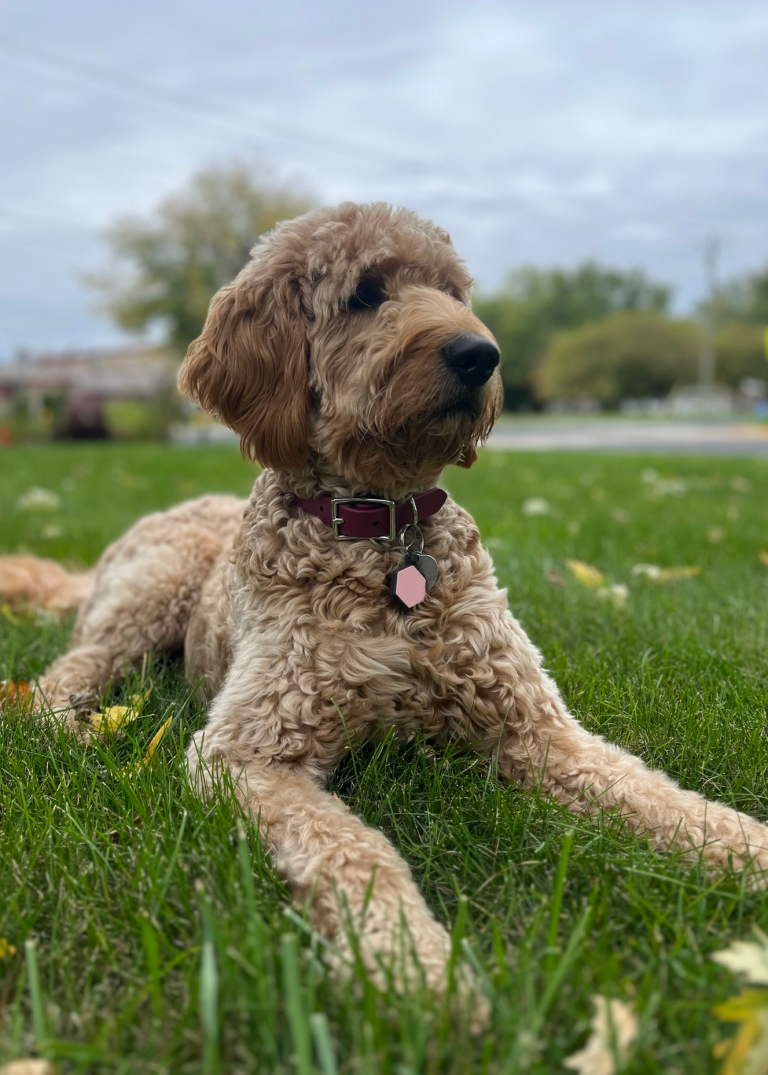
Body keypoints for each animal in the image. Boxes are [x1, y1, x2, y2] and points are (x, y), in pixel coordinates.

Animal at [4, 202, 765, 997]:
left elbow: (651, 791)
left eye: (453, 291)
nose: (480, 355)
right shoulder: (246, 752)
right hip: (151, 592)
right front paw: (415, 965)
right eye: (365, 294)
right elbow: (352, 848)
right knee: (66, 672)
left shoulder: (534, 726)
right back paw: (72, 727)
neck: (385, 533)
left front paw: (746, 850)